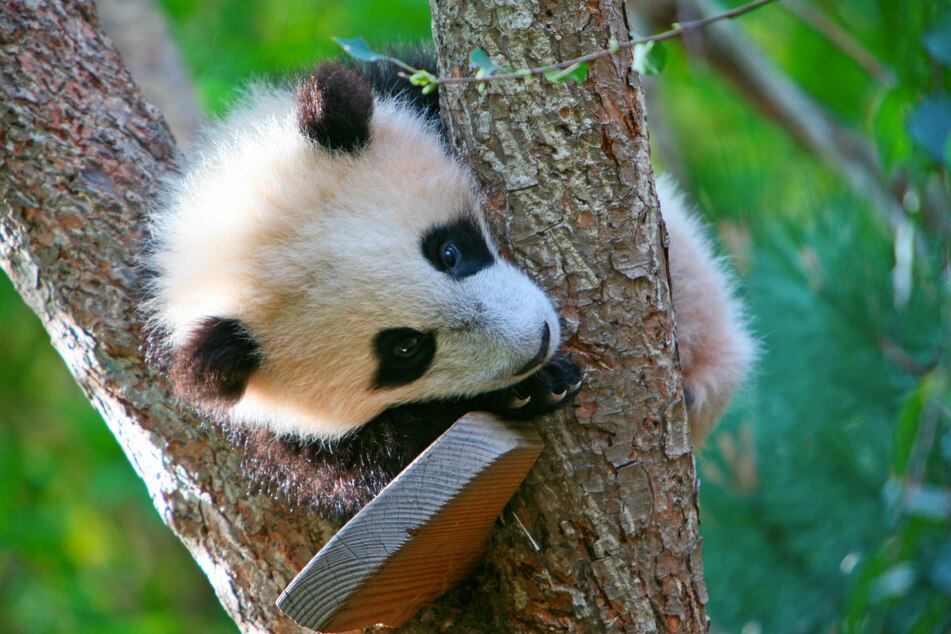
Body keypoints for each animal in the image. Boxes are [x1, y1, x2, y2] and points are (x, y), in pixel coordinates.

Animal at [144, 55, 753, 519]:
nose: (535, 342)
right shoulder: (268, 424)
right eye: (405, 350)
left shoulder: (408, 83)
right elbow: (356, 465)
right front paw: (531, 388)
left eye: (449, 252)